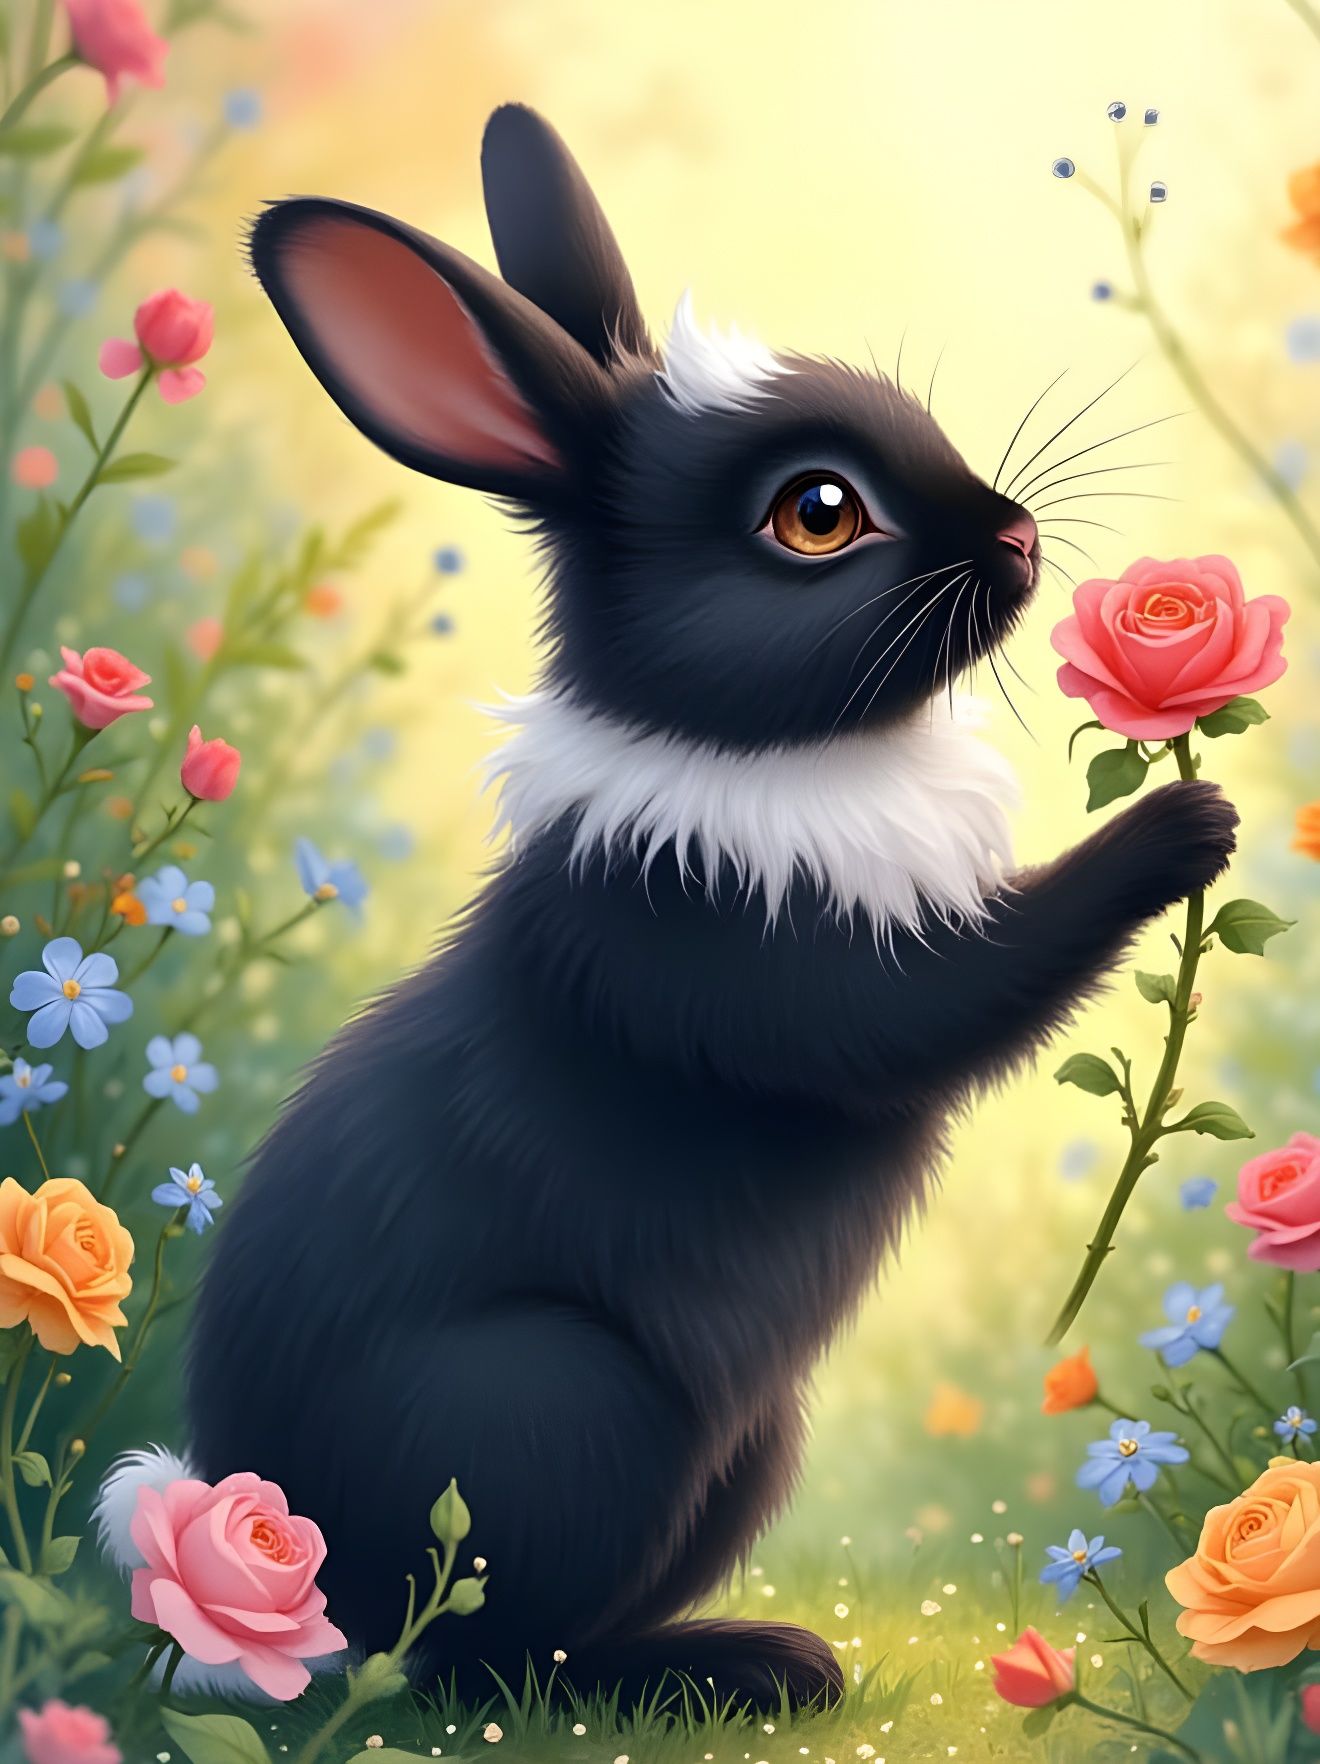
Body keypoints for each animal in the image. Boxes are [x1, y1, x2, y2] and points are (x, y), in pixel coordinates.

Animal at [104, 104, 1238, 1712]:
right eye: (818, 513)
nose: (1018, 538)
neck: (750, 746)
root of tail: (258, 1541)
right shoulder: (751, 969)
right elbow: (966, 994)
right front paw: (1186, 824)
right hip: (561, 1409)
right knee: (474, 1655)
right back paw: (746, 1670)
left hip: (750, 1442)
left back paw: (760, 1662)